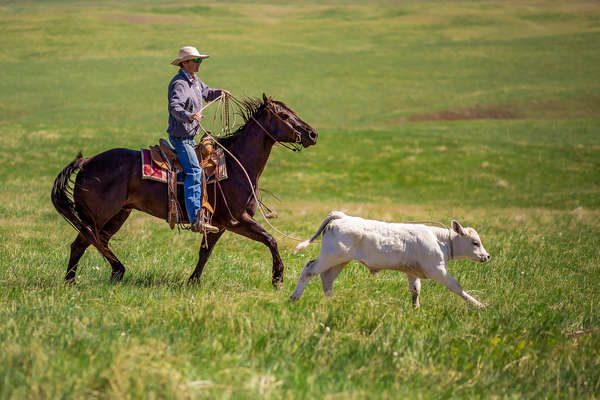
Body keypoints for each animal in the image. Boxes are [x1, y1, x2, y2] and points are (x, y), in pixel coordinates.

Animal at [51, 95, 318, 286]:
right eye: (284, 115)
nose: (313, 133)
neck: (236, 165)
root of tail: (87, 161)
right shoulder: (236, 220)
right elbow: (270, 239)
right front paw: (278, 278)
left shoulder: (218, 224)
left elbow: (205, 252)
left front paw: (193, 281)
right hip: (98, 216)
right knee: (82, 243)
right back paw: (78, 280)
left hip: (119, 214)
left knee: (98, 241)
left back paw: (112, 273)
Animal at [290, 212, 492, 310]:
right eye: (475, 242)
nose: (487, 256)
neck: (440, 240)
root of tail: (343, 217)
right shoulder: (438, 271)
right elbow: (457, 287)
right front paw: (480, 305)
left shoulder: (412, 272)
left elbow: (415, 291)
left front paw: (416, 309)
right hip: (331, 257)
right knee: (309, 269)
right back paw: (294, 298)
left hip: (339, 261)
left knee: (327, 279)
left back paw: (332, 301)